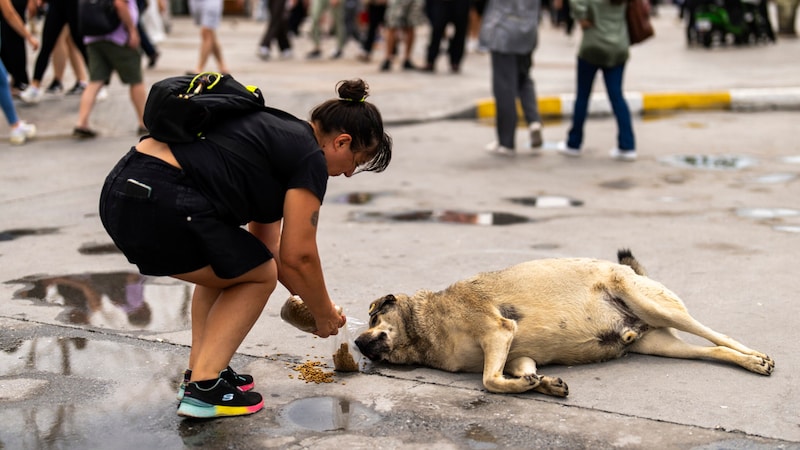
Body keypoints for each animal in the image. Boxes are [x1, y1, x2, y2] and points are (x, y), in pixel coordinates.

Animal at [356, 250, 776, 398]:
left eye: (374, 316)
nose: (358, 343)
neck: (424, 325)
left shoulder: (497, 332)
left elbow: (489, 381)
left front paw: (524, 386)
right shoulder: (514, 354)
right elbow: (517, 371)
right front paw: (540, 382)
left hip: (654, 305)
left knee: (719, 334)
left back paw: (756, 358)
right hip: (659, 344)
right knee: (713, 349)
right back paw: (745, 361)